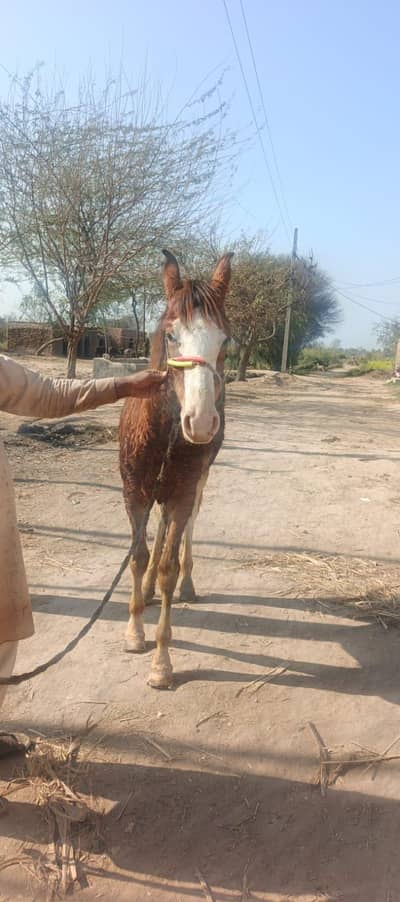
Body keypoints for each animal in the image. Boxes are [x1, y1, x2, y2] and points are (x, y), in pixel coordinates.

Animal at [119, 250, 233, 689]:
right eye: (171, 335)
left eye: (225, 339)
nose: (200, 423)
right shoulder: (134, 494)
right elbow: (137, 556)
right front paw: (134, 633)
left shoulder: (182, 494)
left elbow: (168, 563)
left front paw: (161, 663)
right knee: (161, 530)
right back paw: (148, 589)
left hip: (194, 486)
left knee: (183, 534)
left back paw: (187, 585)